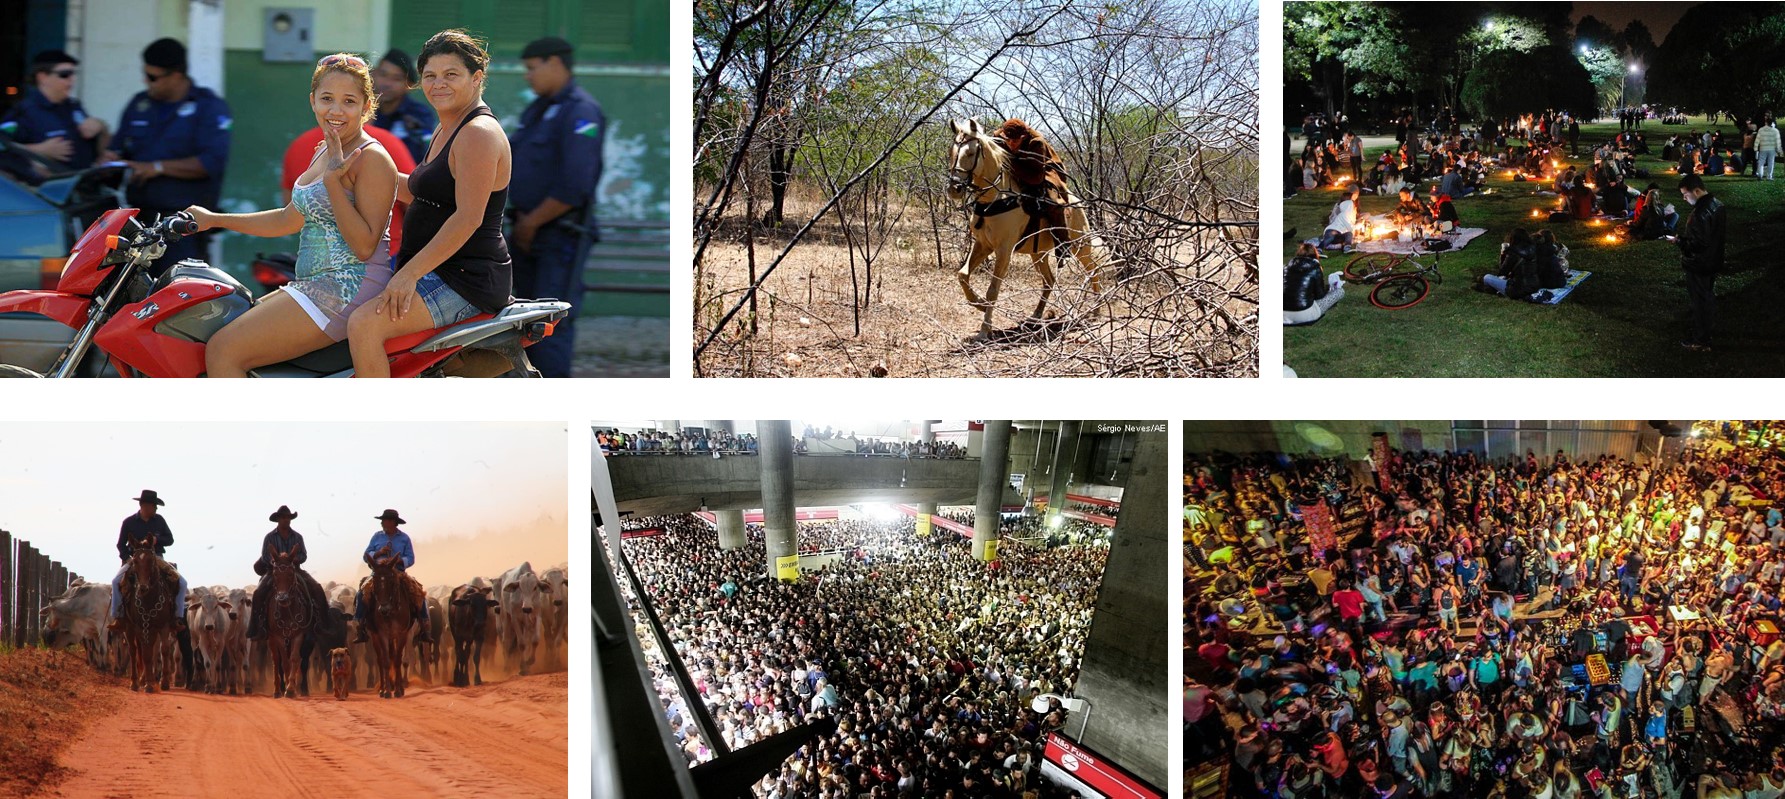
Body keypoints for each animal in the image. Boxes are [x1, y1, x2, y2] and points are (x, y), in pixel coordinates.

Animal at [123, 535, 176, 691]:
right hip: (129, 626)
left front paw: (164, 682)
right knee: (134, 651)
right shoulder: (141, 626)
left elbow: (163, 650)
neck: (149, 599)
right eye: (134, 561)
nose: (143, 587)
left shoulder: (163, 625)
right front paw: (148, 684)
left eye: (151, 560)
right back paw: (135, 682)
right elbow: (146, 654)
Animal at [260, 556, 310, 699]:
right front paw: (288, 687)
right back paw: (277, 690)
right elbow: (284, 663)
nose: (282, 598)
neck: (287, 611)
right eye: (275, 574)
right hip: (271, 639)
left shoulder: (298, 635)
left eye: (291, 574)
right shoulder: (278, 636)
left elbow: (294, 658)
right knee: (276, 661)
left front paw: (291, 688)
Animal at [365, 552, 414, 695]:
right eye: (375, 581)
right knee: (380, 660)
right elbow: (386, 661)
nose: (383, 609)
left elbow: (398, 660)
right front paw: (386, 691)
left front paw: (398, 690)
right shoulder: (382, 634)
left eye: (391, 581)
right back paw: (383, 688)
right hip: (375, 636)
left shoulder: (402, 633)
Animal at [949, 118, 1099, 340]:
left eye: (970, 153)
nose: (954, 188)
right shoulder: (983, 244)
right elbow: (963, 275)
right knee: (1049, 280)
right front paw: (979, 305)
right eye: (952, 151)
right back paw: (1036, 316)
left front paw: (985, 330)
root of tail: (1078, 203)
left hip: (1081, 246)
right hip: (1039, 254)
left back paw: (1097, 310)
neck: (995, 197)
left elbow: (993, 289)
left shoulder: (1004, 250)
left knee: (1093, 270)